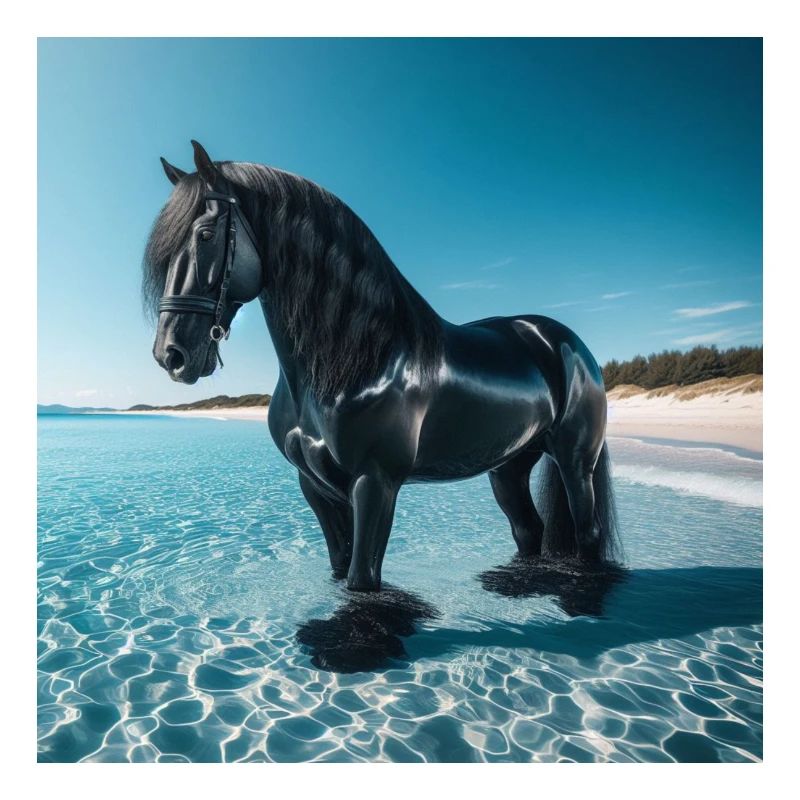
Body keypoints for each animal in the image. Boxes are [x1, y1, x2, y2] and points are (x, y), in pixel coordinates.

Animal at [144, 140, 620, 592]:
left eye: (205, 234)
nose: (171, 354)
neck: (356, 358)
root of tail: (565, 342)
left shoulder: (374, 484)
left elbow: (363, 580)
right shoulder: (314, 486)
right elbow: (340, 568)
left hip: (575, 463)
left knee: (587, 533)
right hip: (508, 466)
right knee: (528, 530)